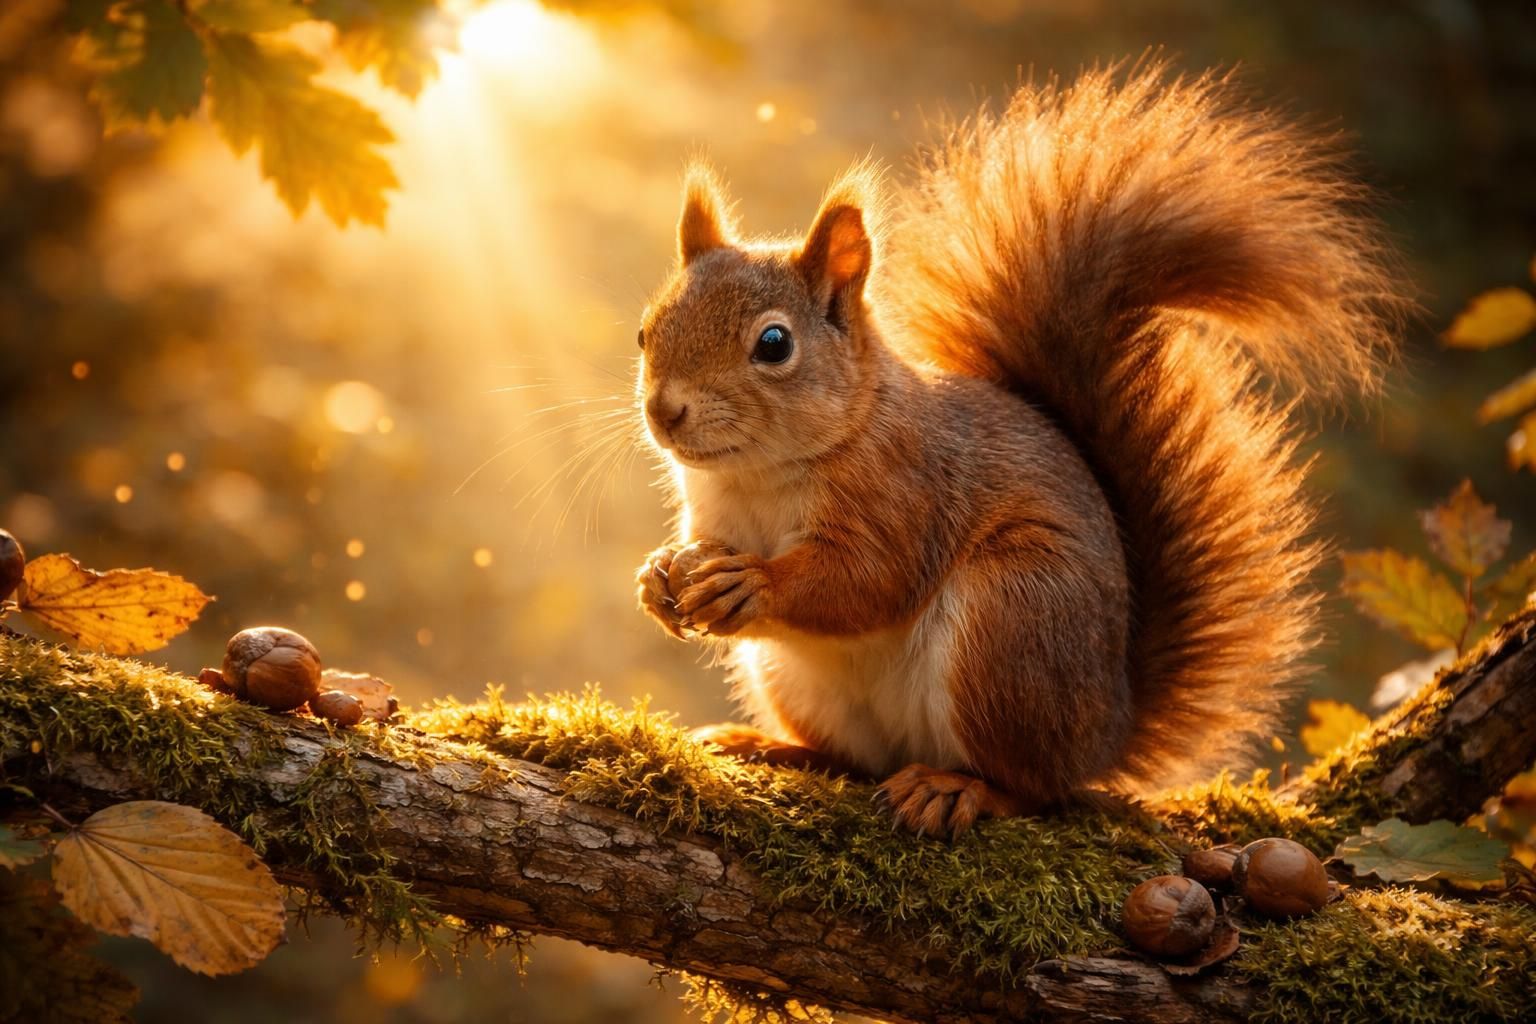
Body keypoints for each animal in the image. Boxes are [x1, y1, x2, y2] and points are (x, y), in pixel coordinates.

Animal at [632, 66, 1405, 837]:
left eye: (774, 344)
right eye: (646, 329)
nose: (664, 411)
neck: (760, 472)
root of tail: (1108, 730)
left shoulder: (905, 490)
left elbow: (868, 580)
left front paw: (754, 585)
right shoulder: (714, 517)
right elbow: (699, 550)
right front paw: (657, 576)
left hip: (1011, 623)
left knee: (1034, 787)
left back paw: (959, 790)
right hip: (801, 680)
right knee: (856, 761)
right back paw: (770, 746)